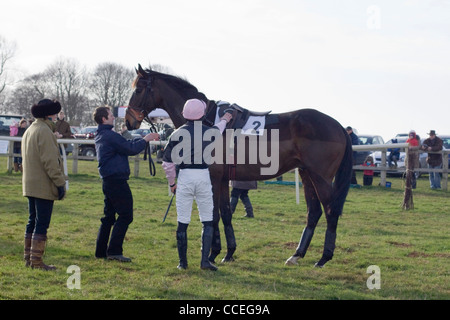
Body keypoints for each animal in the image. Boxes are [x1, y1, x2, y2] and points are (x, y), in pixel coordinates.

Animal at [125, 65, 354, 268]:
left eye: (138, 89)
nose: (128, 121)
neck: (206, 121)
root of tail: (338, 126)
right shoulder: (223, 179)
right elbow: (225, 214)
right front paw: (227, 253)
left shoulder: (213, 179)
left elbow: (213, 215)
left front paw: (212, 253)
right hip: (307, 174)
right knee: (313, 213)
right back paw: (296, 255)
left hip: (321, 177)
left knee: (331, 211)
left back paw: (323, 258)